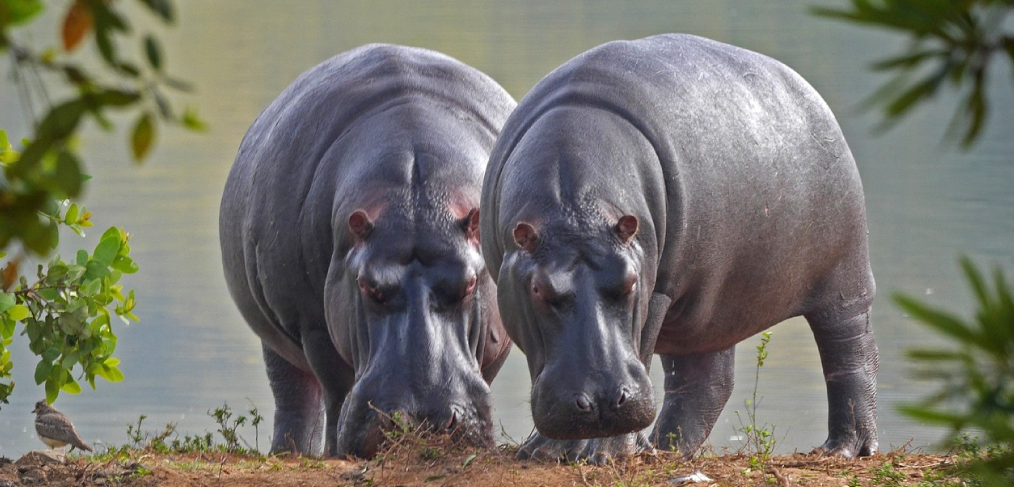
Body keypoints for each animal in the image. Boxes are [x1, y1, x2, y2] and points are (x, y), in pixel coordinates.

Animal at [222, 43, 515, 458]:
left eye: (471, 283)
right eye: (367, 285)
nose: (421, 421)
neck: (416, 200)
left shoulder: (498, 333)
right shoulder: (313, 325)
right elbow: (337, 387)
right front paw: (335, 451)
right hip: (277, 340)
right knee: (296, 398)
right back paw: (292, 453)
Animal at [478, 32, 876, 462]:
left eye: (631, 281)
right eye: (537, 288)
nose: (602, 403)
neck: (575, 210)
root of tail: (808, 93)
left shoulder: (658, 289)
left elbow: (641, 346)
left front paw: (605, 454)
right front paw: (543, 451)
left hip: (844, 279)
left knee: (851, 354)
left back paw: (845, 449)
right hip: (707, 305)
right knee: (705, 380)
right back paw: (666, 450)